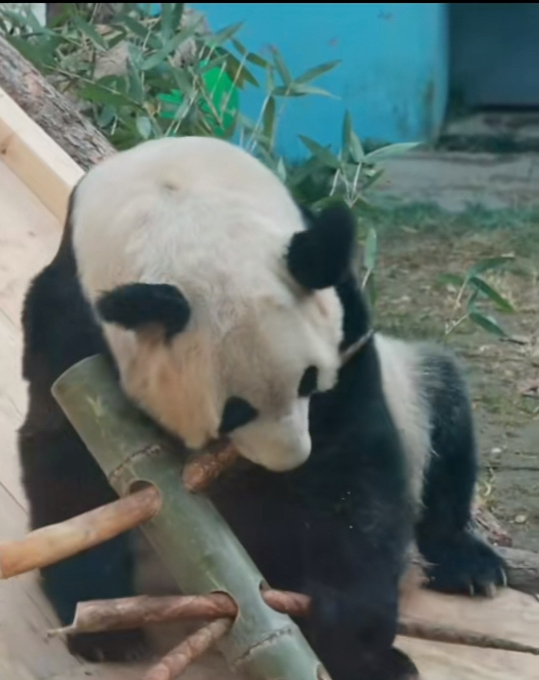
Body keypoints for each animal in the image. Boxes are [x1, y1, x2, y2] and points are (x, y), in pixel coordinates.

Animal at [16, 137, 506, 680]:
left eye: (310, 381)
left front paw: (362, 647)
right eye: (234, 412)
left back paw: (471, 566)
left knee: (447, 421)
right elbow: (69, 463)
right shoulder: (70, 327)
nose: (290, 460)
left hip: (415, 385)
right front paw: (106, 632)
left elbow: (354, 469)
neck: (181, 199)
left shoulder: (346, 322)